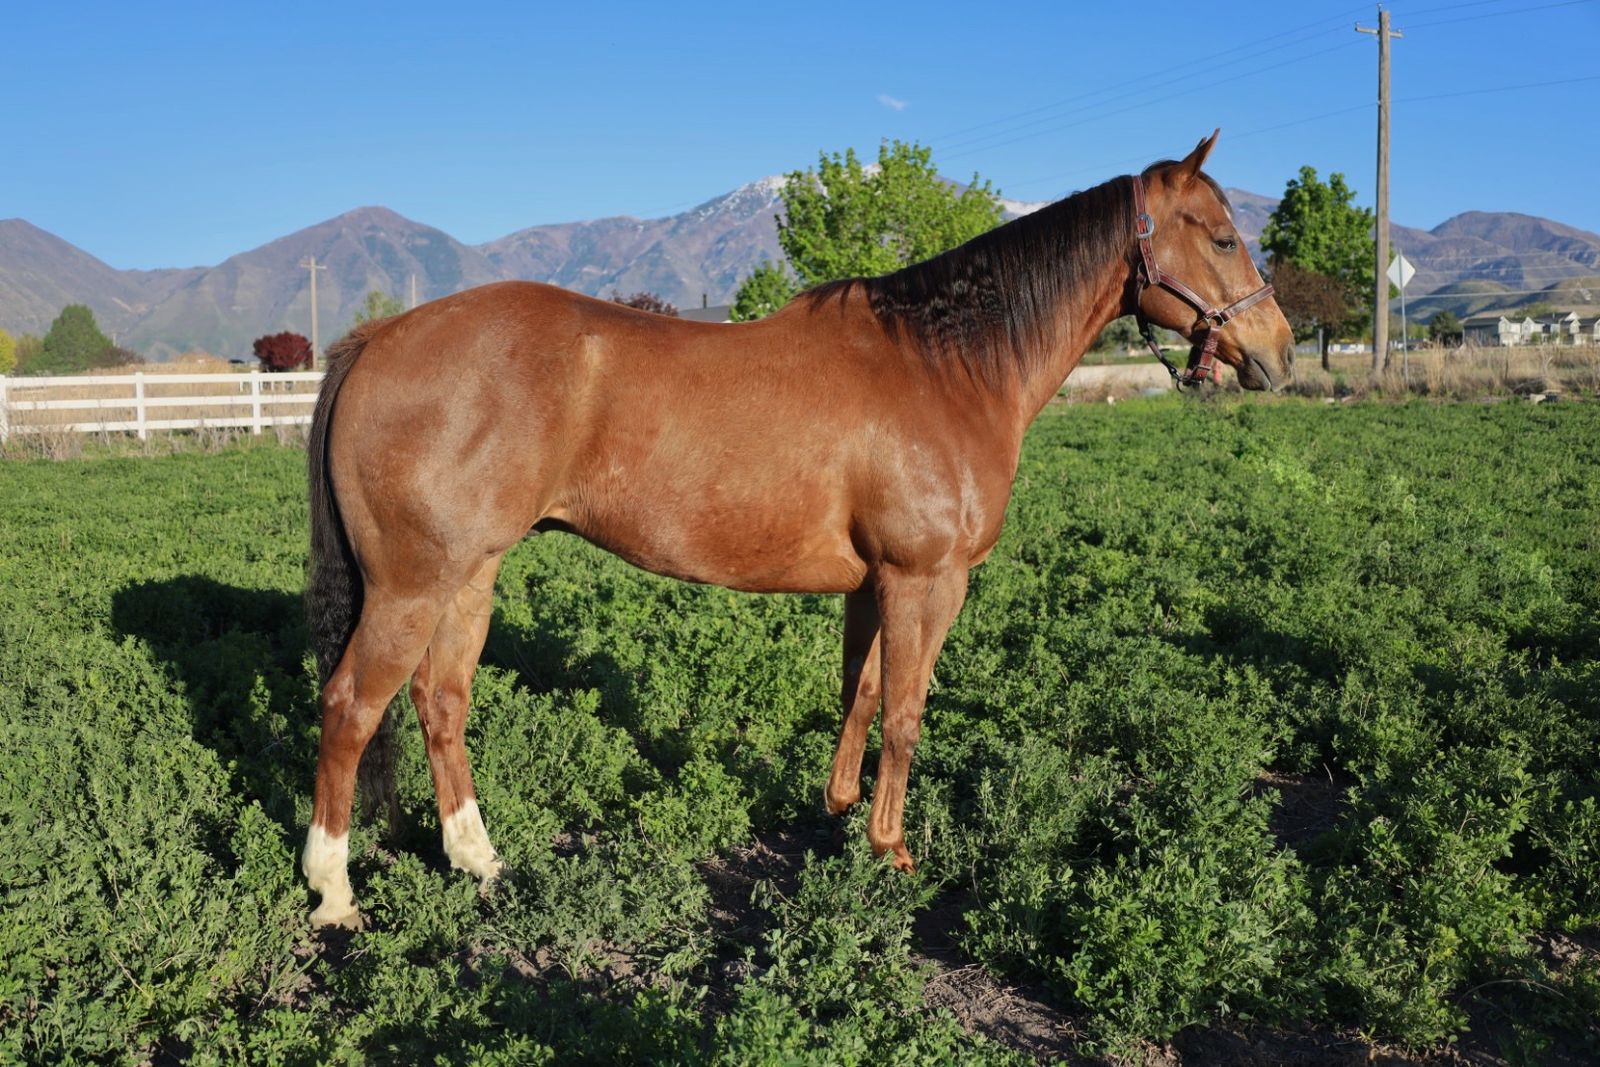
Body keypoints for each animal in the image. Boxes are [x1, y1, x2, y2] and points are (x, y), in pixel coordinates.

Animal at [301, 130, 1293, 929]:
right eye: (1221, 235)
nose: (1279, 353)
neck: (946, 363)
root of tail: (378, 336)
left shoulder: (873, 584)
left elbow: (860, 692)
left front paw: (840, 811)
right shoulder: (926, 579)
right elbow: (905, 710)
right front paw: (892, 851)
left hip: (469, 576)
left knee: (441, 702)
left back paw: (479, 859)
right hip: (411, 586)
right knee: (351, 706)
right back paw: (334, 893)